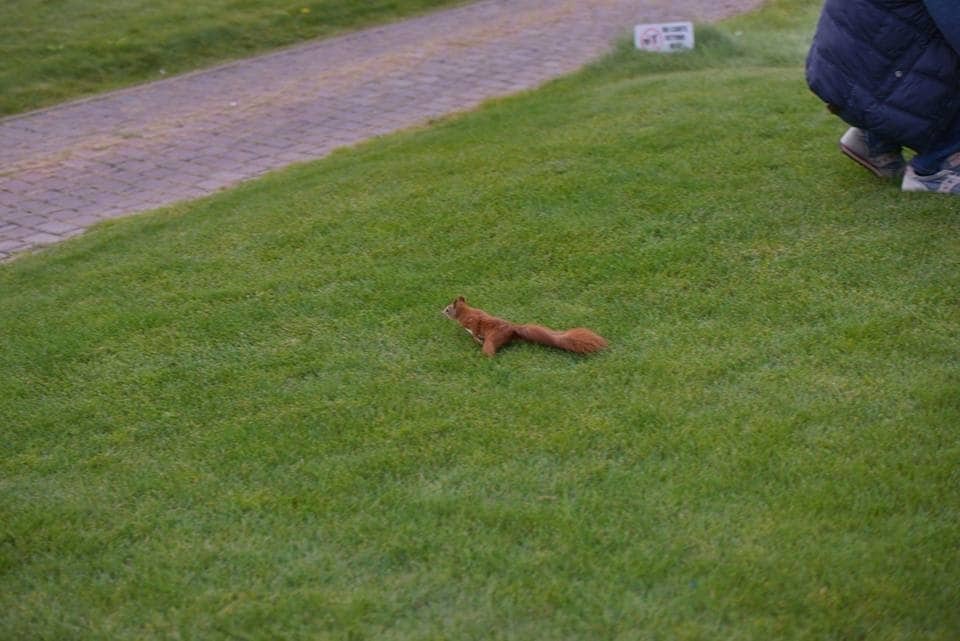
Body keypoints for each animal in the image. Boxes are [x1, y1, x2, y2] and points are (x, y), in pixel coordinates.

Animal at [442, 296, 608, 356]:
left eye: (448, 309)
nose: (441, 312)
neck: (465, 312)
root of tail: (513, 329)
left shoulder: (473, 321)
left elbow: (475, 329)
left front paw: (477, 339)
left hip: (493, 338)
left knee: (490, 347)